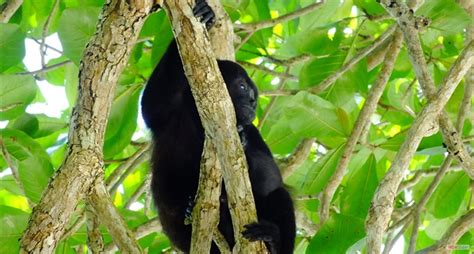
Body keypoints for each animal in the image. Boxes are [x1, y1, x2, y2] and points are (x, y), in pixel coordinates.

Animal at [141, 1, 294, 252]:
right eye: (242, 87)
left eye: (254, 95)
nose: (253, 102)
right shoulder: (169, 113)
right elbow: (149, 103)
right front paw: (204, 16)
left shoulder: (253, 130)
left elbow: (271, 177)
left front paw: (243, 143)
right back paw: (188, 207)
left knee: (281, 194)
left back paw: (272, 239)